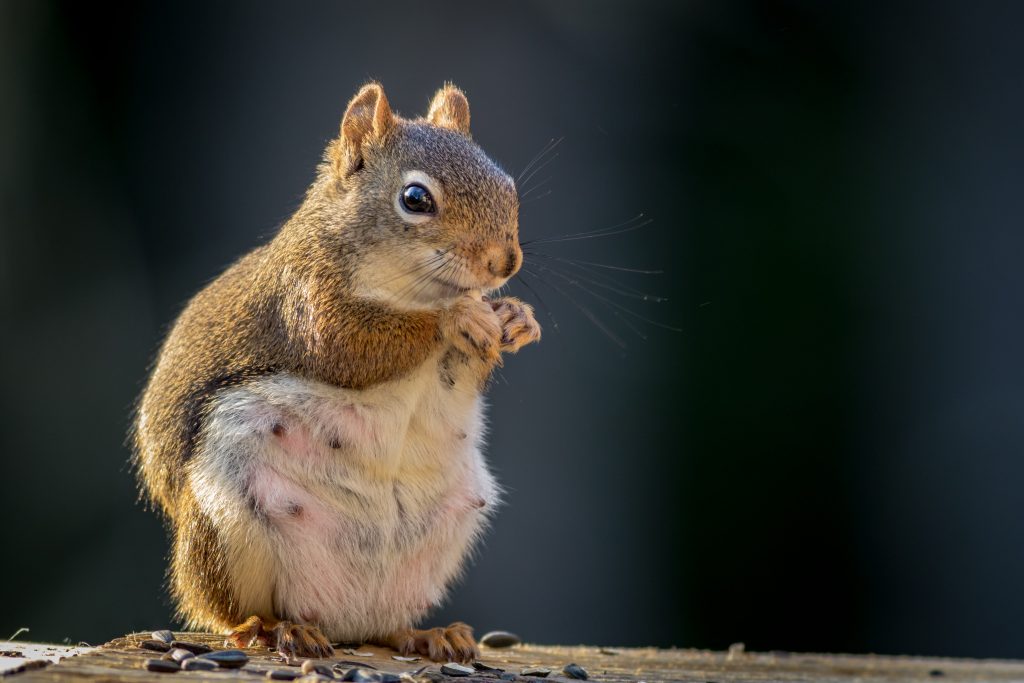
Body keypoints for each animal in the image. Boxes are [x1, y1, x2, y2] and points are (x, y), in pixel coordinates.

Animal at [132, 82, 541, 662]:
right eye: (415, 199)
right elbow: (350, 347)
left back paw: (426, 634)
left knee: (385, 626)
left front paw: (515, 318)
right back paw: (275, 628)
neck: (409, 288)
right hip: (225, 525)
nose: (504, 262)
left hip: (440, 537)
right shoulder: (306, 300)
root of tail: (339, 618)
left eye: (507, 185)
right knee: (227, 610)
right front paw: (454, 318)